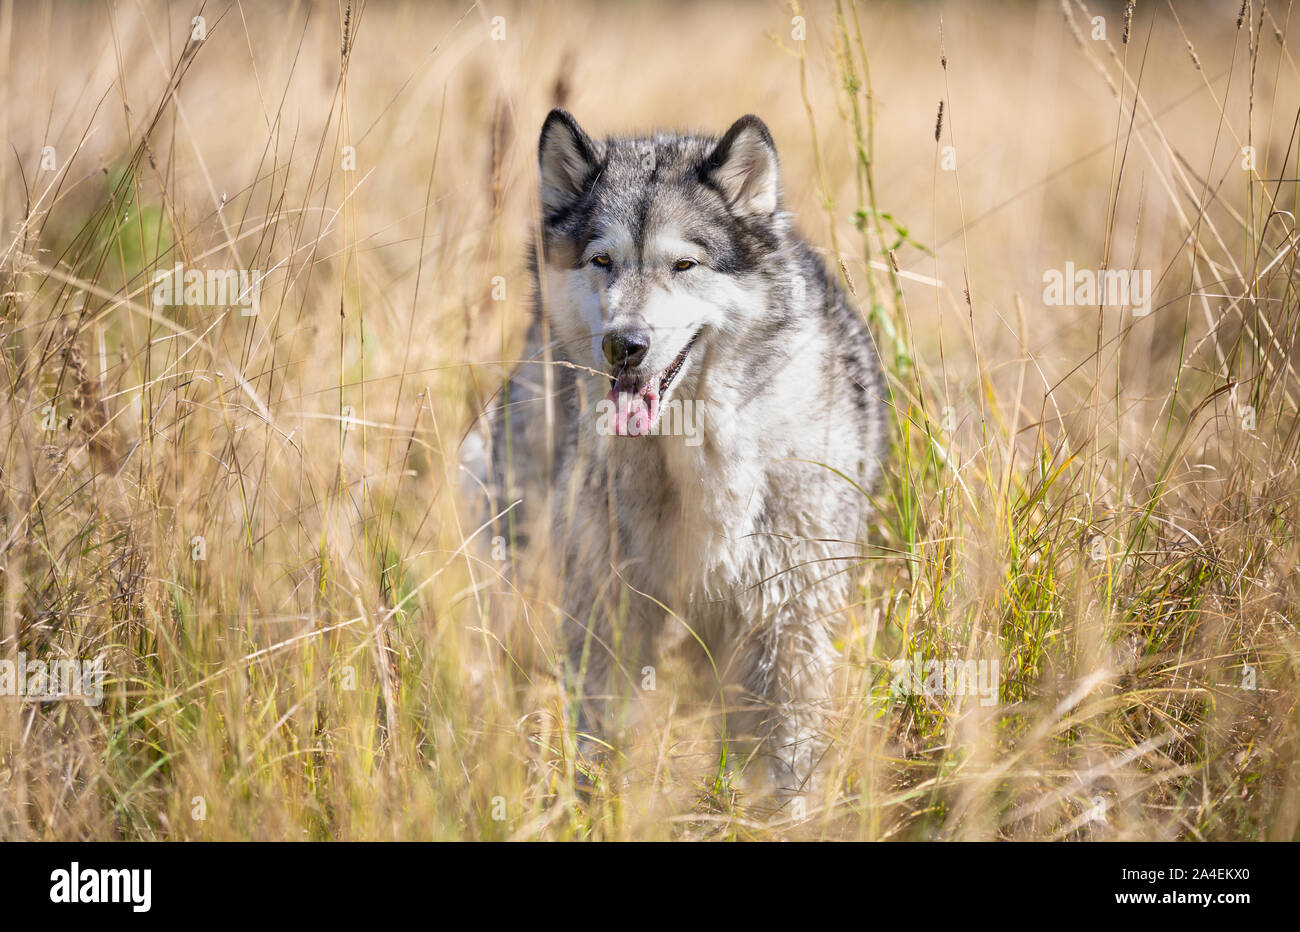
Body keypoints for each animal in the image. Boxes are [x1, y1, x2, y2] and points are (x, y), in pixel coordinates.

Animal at [470, 109, 894, 805]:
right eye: (602, 260)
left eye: (684, 264)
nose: (625, 346)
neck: (691, 455)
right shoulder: (609, 609)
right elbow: (603, 734)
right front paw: (599, 806)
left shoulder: (787, 613)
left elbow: (786, 749)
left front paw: (788, 812)